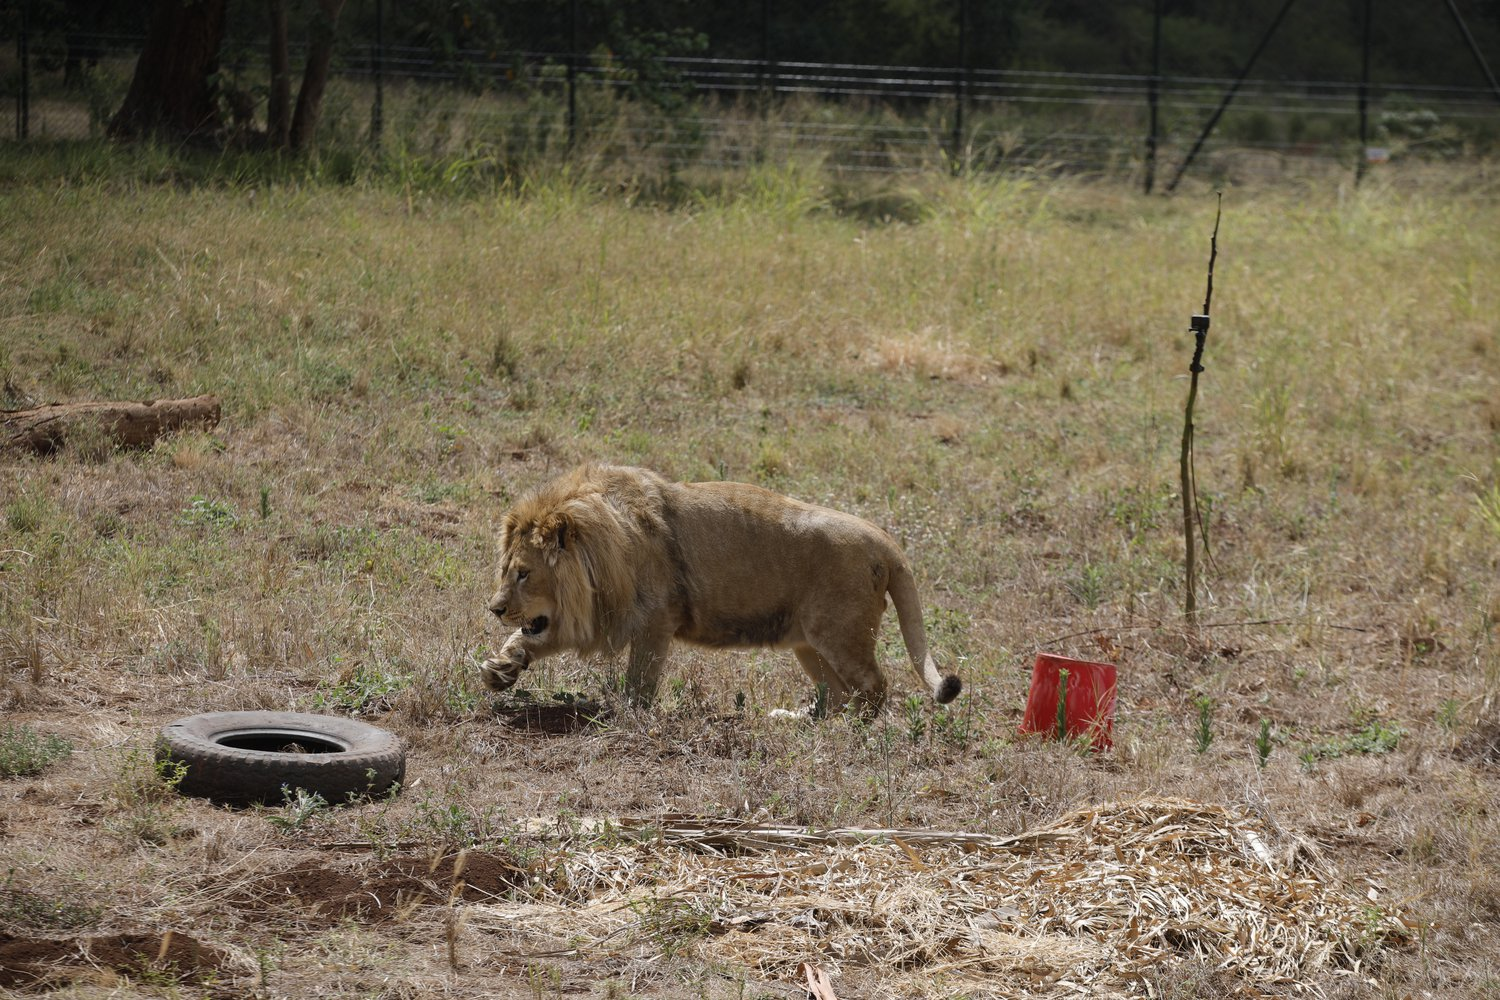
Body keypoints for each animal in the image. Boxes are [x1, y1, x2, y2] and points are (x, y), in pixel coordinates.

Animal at [480, 464, 960, 716]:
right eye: (506, 570)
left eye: (525, 574)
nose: (495, 608)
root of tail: (884, 540)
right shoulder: (592, 616)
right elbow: (531, 638)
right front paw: (499, 668)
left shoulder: (655, 619)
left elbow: (641, 679)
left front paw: (630, 713)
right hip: (808, 643)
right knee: (839, 694)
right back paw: (803, 721)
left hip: (839, 634)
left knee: (874, 686)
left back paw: (852, 733)